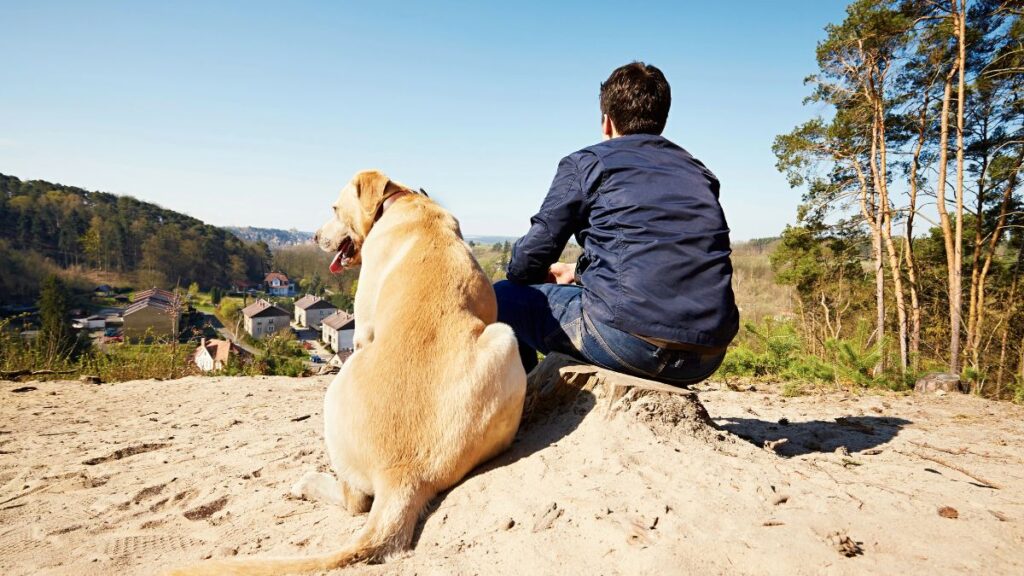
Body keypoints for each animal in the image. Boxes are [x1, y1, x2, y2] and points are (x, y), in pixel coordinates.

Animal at [167, 170, 528, 573]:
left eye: (335, 209)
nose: (313, 237)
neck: (402, 202)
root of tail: (404, 475)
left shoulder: (362, 330)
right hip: (503, 339)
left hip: (343, 391)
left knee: (354, 501)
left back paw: (309, 483)